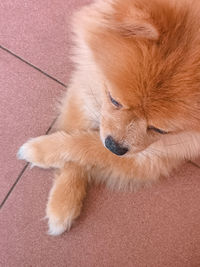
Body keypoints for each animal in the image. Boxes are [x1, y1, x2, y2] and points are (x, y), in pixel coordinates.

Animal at [18, 0, 200, 236]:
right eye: (114, 100)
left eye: (160, 130)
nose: (115, 146)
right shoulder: (89, 85)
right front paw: (63, 201)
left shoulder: (156, 156)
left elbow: (86, 146)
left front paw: (41, 150)